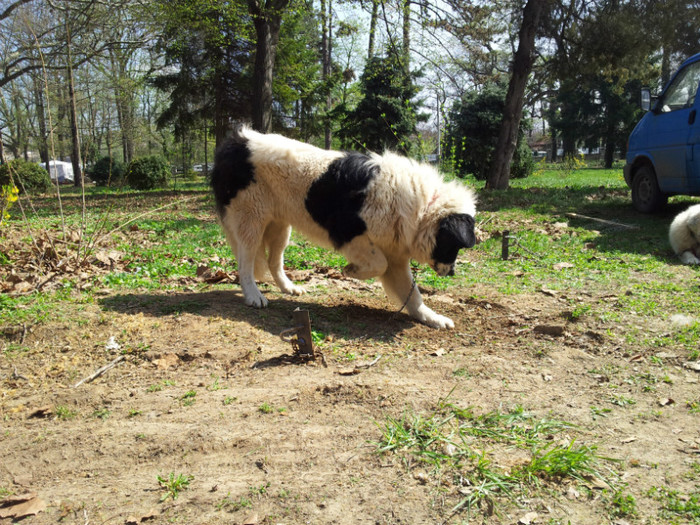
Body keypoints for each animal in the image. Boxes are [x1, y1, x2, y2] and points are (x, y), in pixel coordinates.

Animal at [211, 125, 478, 328]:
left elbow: (412, 294)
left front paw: (431, 317)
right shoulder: (349, 234)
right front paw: (351, 271)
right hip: (251, 220)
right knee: (245, 263)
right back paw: (253, 295)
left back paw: (289, 288)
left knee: (273, 261)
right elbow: (379, 263)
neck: (422, 208)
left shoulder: (396, 255)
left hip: (279, 228)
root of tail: (236, 140)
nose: (452, 273)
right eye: (454, 246)